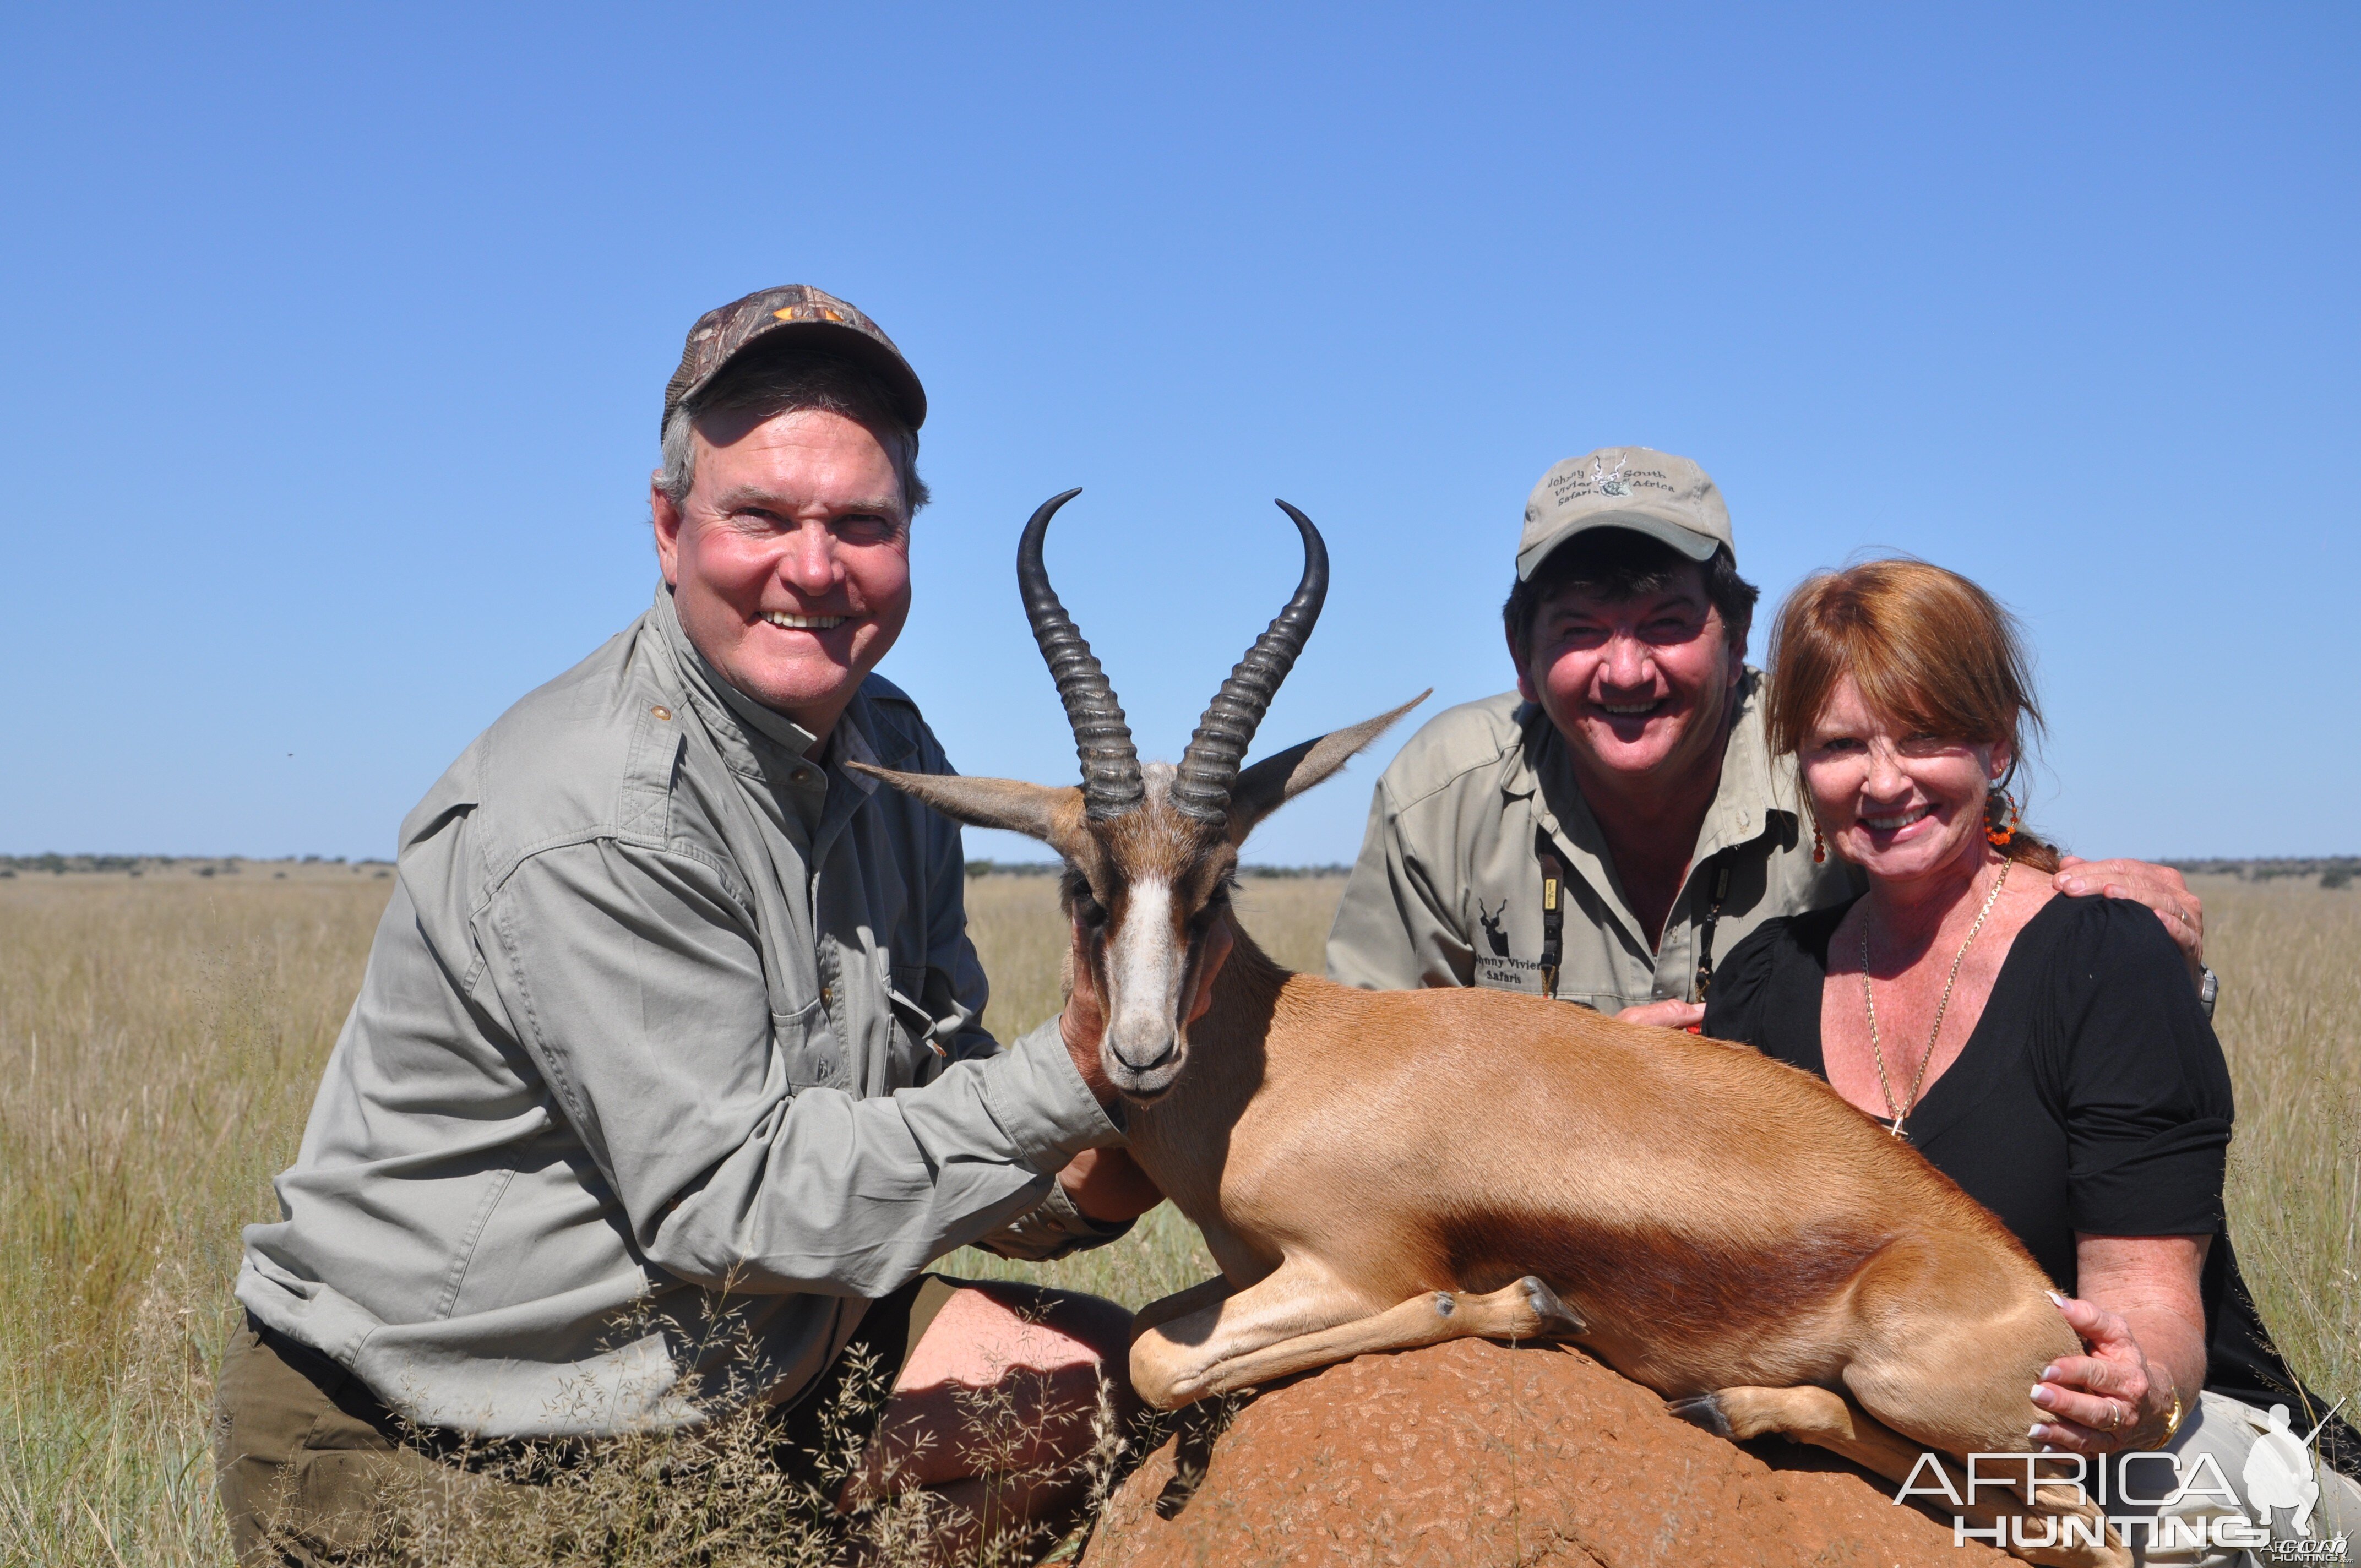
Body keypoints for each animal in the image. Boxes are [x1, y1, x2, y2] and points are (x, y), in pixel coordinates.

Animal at [859, 493, 2134, 1567]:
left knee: (2079, 1533)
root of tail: (2042, 1304)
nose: (1138, 1053)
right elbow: (1148, 1344)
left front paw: (1514, 1302)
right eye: (1085, 885)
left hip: (1935, 1391)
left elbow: (1160, 1354)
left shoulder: (1348, 1263)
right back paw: (1726, 1403)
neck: (1287, 1069)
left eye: (1215, 884)